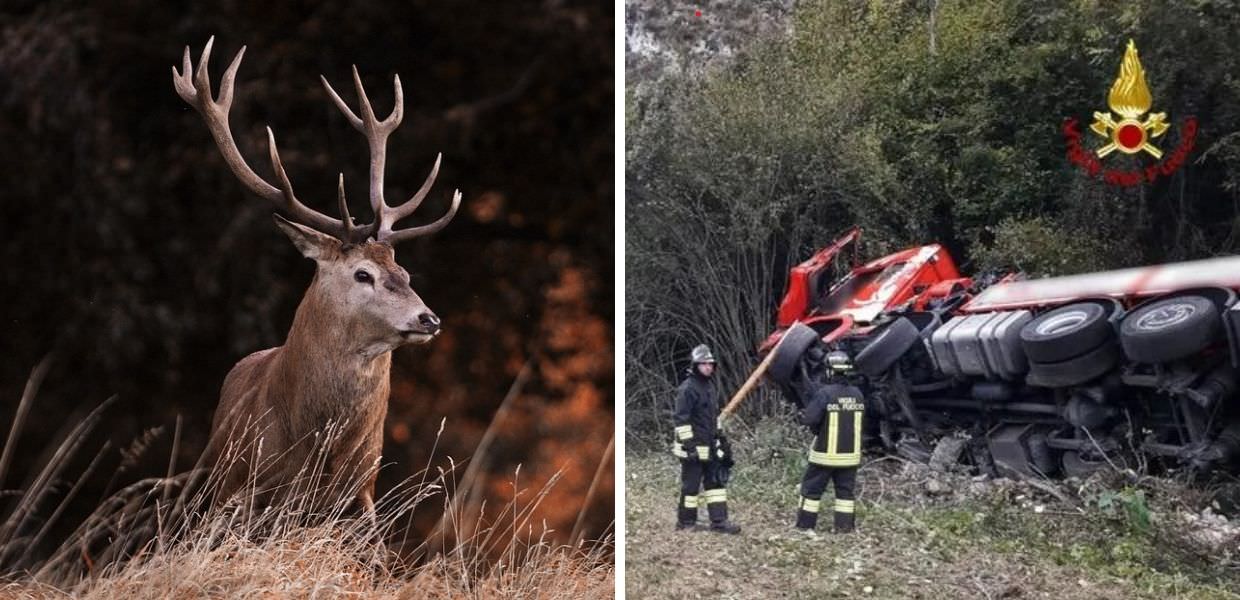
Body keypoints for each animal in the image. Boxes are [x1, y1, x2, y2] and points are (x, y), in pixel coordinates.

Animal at [171, 37, 460, 520]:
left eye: (404, 272)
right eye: (363, 274)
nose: (429, 319)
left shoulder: (363, 492)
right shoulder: (245, 489)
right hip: (215, 482)